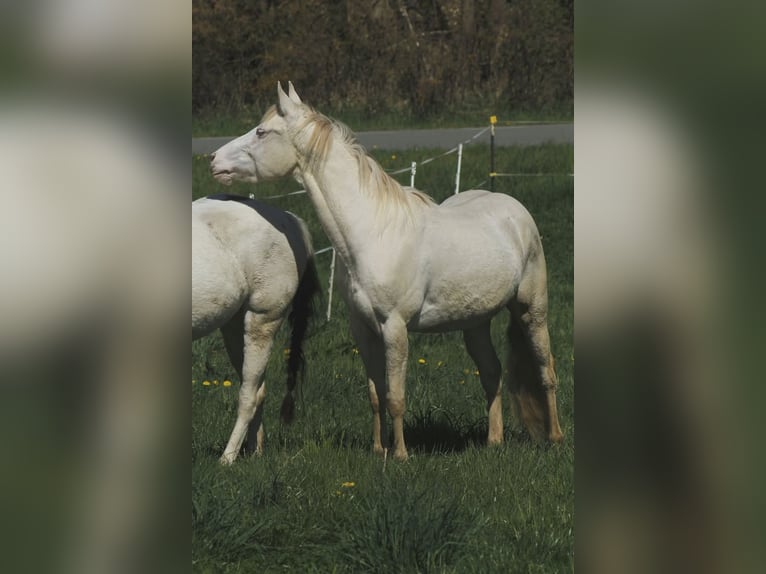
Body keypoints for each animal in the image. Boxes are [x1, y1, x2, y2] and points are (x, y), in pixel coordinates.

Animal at [192, 193, 319, 464]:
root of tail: (287, 218)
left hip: (262, 322)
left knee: (248, 395)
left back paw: (228, 458)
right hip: (233, 327)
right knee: (257, 389)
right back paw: (254, 451)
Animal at [210, 83, 563, 460]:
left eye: (262, 132)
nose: (214, 160)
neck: (373, 234)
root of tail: (515, 210)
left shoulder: (395, 327)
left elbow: (396, 396)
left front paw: (400, 455)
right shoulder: (363, 329)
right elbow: (375, 393)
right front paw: (379, 449)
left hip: (532, 310)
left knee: (545, 370)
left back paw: (555, 437)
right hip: (476, 322)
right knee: (492, 373)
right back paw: (493, 441)